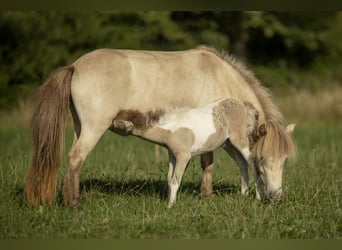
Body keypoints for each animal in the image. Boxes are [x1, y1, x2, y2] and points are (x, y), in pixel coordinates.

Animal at [24, 45, 296, 209]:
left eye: (284, 161)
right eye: (263, 159)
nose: (276, 197)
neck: (218, 74)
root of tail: (75, 66)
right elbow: (207, 162)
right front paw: (207, 195)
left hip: (80, 127)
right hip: (94, 128)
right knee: (76, 158)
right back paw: (74, 204)